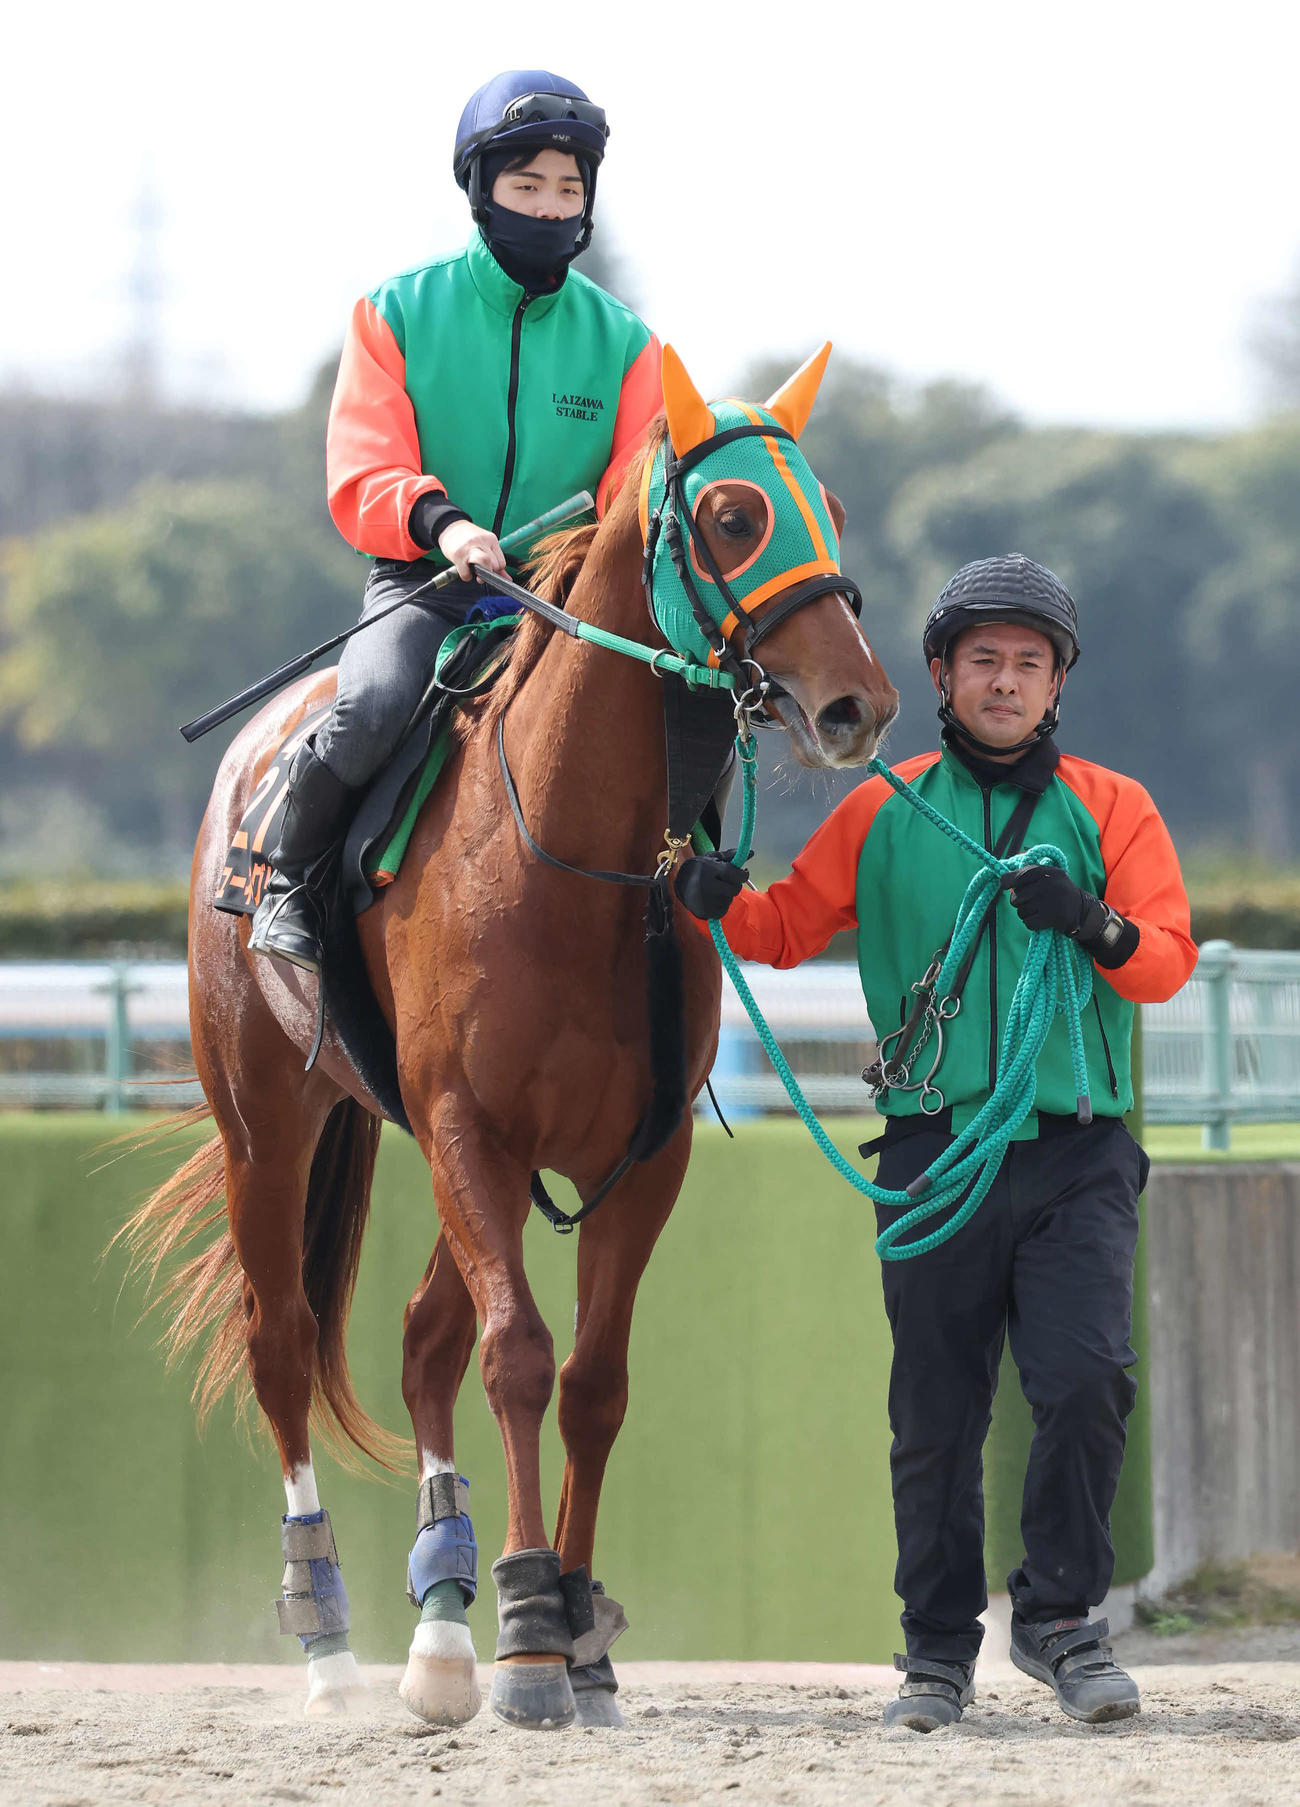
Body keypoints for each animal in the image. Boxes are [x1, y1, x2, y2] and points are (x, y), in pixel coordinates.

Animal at [124, 344, 899, 1730]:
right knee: (284, 1342)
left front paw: (578, 1628)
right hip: (268, 1124)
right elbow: (521, 1358)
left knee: (423, 1339)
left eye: (835, 510)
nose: (856, 702)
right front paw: (534, 1632)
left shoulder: (636, 1158)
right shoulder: (466, 1126)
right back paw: (329, 1643)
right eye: (733, 516)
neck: (570, 859)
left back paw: (439, 1635)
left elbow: (591, 1380)